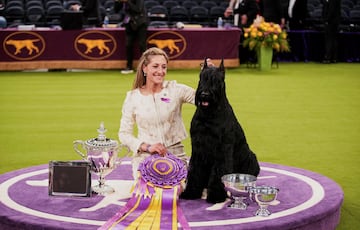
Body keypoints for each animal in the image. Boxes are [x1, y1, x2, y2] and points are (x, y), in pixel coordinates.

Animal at [181, 58, 260, 203]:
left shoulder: (222, 149)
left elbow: (219, 171)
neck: (209, 114)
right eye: (202, 78)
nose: (204, 94)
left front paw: (216, 195)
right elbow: (194, 170)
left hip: (251, 158)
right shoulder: (198, 147)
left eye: (217, 80)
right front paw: (191, 192)